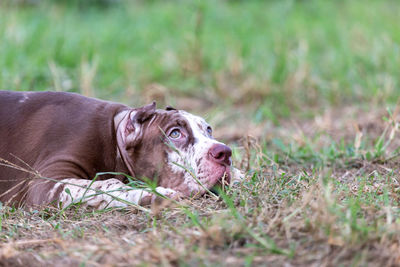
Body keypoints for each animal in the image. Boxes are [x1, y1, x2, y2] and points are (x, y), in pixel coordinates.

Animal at [0, 91, 241, 210]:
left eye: (208, 130)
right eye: (175, 134)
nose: (225, 153)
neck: (112, 136)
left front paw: (239, 174)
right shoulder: (47, 184)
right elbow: (105, 185)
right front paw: (152, 194)